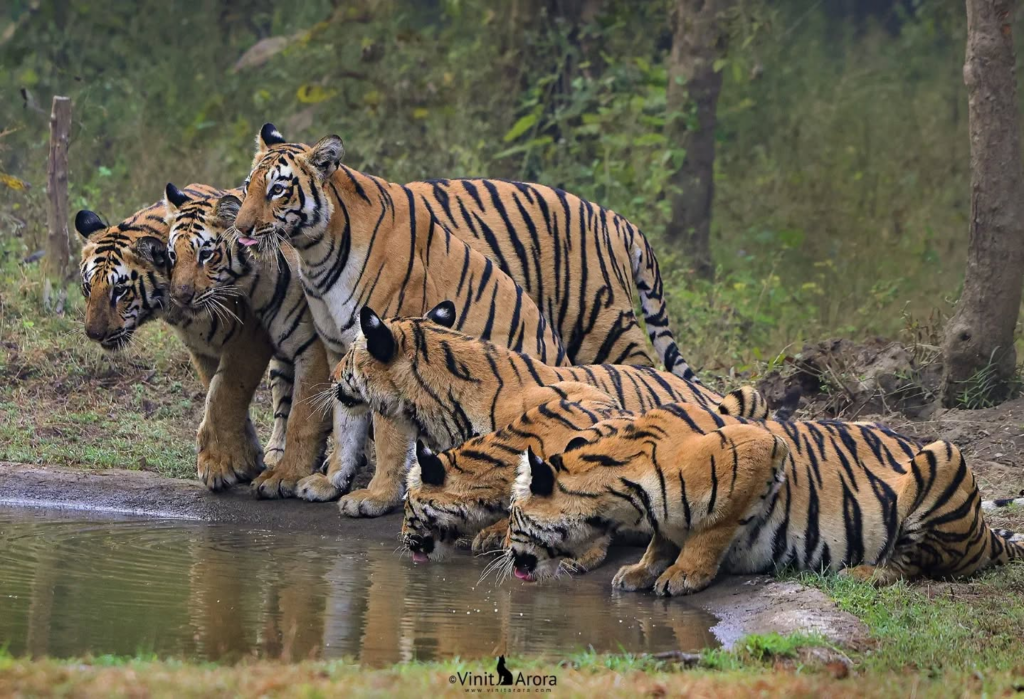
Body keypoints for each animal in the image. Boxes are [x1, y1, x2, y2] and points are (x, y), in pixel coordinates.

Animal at [76, 188, 286, 490]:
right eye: (87, 287)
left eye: (120, 290)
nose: (93, 333)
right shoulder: (202, 348)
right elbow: (219, 395)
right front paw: (241, 460)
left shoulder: (250, 337)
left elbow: (224, 395)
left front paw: (217, 466)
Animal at [163, 183, 332, 498]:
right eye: (172, 256)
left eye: (206, 253)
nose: (179, 296)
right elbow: (218, 395)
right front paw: (224, 464)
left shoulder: (313, 349)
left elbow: (303, 417)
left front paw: (287, 476)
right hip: (280, 365)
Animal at [233, 125, 577, 514]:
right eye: (247, 186)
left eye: (277, 190)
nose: (240, 228)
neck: (315, 253)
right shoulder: (339, 351)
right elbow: (345, 422)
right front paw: (330, 481)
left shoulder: (386, 355)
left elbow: (388, 437)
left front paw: (375, 497)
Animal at [506, 402, 1024, 593]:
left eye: (511, 519)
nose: (507, 554)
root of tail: (987, 534)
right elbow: (662, 539)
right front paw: (638, 571)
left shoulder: (760, 450)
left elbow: (709, 531)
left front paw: (683, 576)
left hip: (942, 456)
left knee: (914, 563)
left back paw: (862, 572)